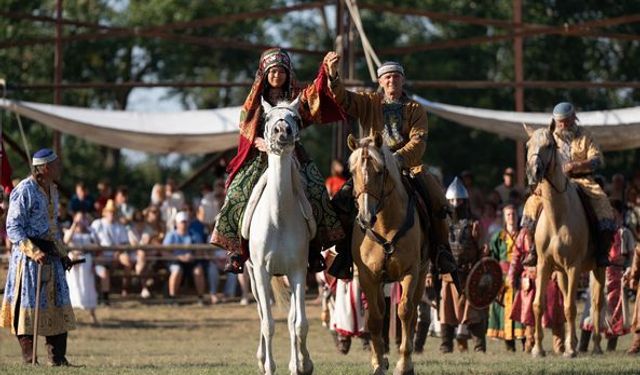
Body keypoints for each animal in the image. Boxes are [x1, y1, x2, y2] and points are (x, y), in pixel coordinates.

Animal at [241, 97, 316, 375]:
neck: (278, 217)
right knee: (263, 314)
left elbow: (299, 324)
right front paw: (269, 367)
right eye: (267, 118)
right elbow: (269, 323)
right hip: (253, 276)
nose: (282, 130)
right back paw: (262, 359)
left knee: (293, 318)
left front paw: (300, 364)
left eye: (295, 117)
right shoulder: (262, 272)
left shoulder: (298, 272)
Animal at [348, 134, 428, 375]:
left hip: (422, 274)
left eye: (380, 171)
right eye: (352, 172)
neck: (385, 226)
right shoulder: (368, 277)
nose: (366, 218)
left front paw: (404, 364)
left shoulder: (411, 272)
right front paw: (377, 363)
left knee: (412, 311)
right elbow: (375, 318)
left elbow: (405, 311)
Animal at [524, 125, 604, 358]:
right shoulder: (544, 264)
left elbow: (570, 307)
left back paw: (595, 346)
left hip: (598, 268)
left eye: (549, 145)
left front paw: (570, 350)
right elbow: (538, 305)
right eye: (528, 145)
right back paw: (572, 342)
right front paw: (538, 349)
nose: (533, 173)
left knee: (596, 304)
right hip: (560, 272)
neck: (557, 218)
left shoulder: (574, 266)